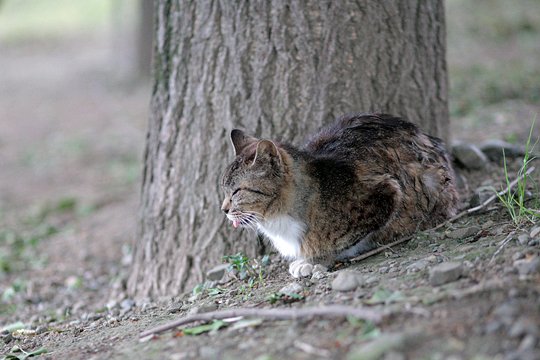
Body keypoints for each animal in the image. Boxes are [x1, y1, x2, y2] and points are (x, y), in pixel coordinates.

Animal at [221, 114, 458, 278]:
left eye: (237, 191)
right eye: (224, 190)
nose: (223, 210)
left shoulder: (388, 192)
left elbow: (339, 242)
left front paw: (314, 260)